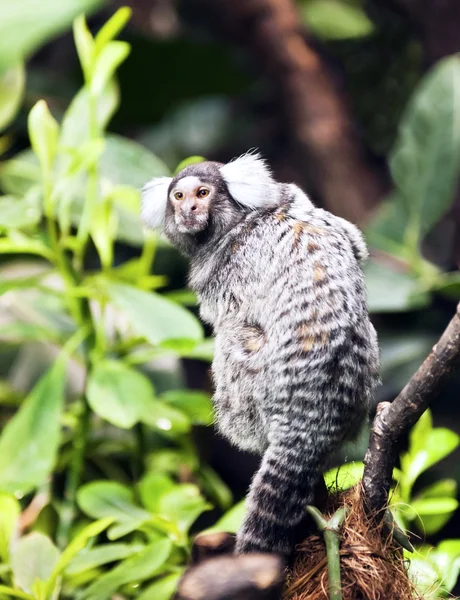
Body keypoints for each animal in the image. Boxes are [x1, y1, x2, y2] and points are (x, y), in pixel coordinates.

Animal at [142, 154, 380, 556]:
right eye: (178, 196)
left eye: (202, 193)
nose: (189, 209)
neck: (242, 221)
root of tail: (310, 417)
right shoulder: (310, 207)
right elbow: (352, 240)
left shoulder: (230, 270)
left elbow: (233, 317)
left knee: (231, 341)